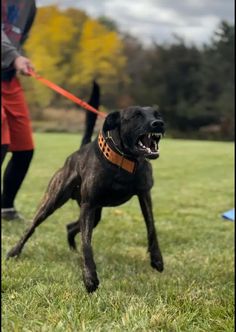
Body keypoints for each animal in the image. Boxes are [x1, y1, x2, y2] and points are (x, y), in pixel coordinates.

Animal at [6, 102, 164, 294]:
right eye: (136, 115)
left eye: (157, 114)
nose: (158, 124)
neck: (124, 160)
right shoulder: (88, 205)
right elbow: (87, 244)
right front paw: (89, 278)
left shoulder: (144, 194)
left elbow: (151, 227)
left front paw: (157, 259)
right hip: (53, 201)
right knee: (32, 226)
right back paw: (14, 251)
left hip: (95, 214)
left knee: (70, 227)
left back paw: (73, 251)